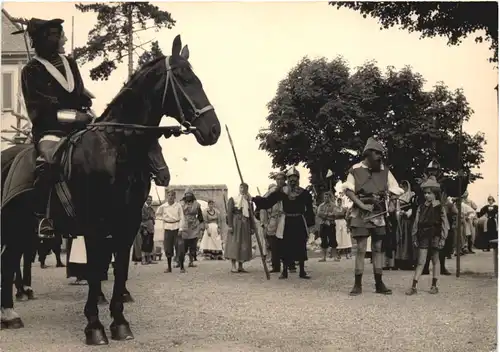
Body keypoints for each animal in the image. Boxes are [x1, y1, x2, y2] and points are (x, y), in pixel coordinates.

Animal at [0, 35, 219, 344]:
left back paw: (10, 311)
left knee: (9, 261)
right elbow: (95, 271)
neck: (115, 148)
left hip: (21, 229)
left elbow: (120, 269)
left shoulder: (126, 224)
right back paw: (10, 309)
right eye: (184, 79)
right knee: (9, 262)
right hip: (15, 225)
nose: (213, 130)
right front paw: (94, 325)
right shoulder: (94, 225)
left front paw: (119, 321)